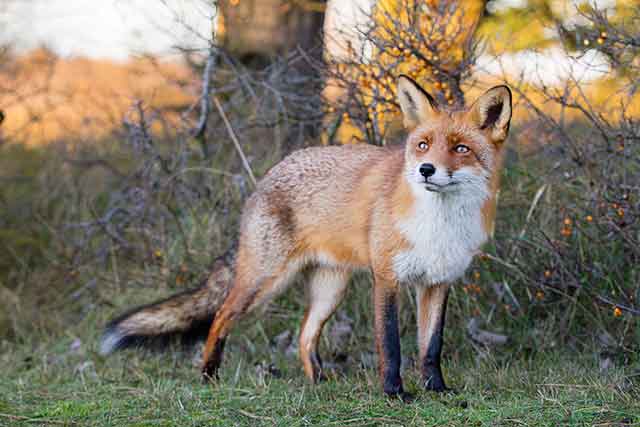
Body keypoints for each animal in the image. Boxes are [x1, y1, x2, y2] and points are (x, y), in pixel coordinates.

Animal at [100, 75, 512, 399]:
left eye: (460, 148)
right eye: (423, 145)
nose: (426, 169)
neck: (439, 225)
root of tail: (268, 175)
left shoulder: (438, 282)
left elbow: (431, 346)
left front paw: (437, 389)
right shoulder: (387, 279)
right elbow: (391, 345)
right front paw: (394, 393)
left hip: (331, 289)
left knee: (304, 335)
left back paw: (317, 381)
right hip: (264, 281)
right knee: (220, 317)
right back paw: (208, 375)